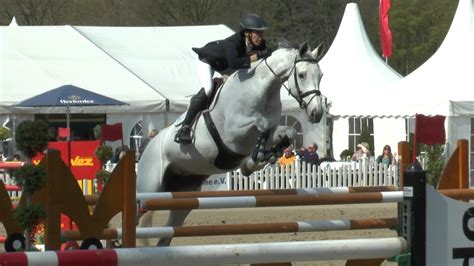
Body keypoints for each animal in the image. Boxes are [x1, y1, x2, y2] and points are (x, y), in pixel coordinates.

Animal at [135, 41, 324, 245]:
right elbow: (261, 124)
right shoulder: (234, 132)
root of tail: (146, 149)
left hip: (184, 191)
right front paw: (255, 159)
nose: (317, 113)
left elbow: (287, 131)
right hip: (150, 189)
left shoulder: (270, 130)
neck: (261, 88)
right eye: (302, 74)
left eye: (320, 75)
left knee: (167, 231)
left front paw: (262, 159)